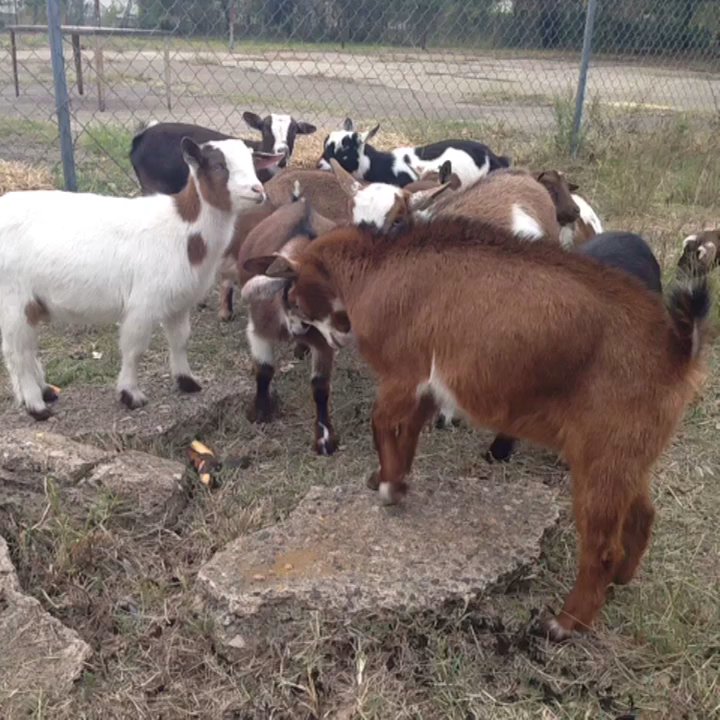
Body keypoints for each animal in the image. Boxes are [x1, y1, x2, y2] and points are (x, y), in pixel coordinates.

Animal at [0, 138, 281, 419]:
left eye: (253, 161)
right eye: (218, 165)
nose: (257, 190)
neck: (184, 230)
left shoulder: (179, 302)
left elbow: (180, 340)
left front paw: (187, 381)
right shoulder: (143, 303)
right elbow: (134, 350)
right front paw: (130, 394)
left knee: (19, 350)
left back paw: (42, 391)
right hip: (15, 298)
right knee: (19, 352)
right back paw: (37, 406)